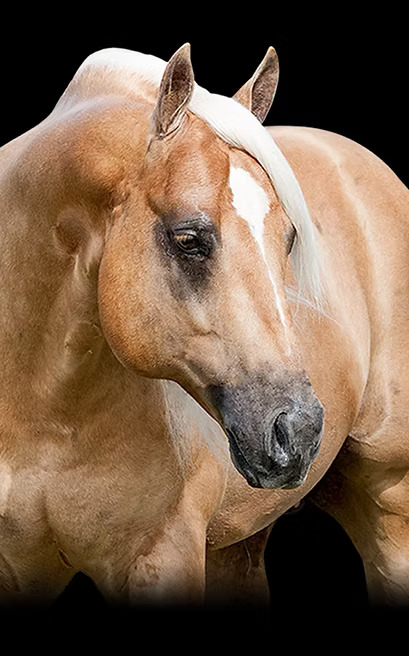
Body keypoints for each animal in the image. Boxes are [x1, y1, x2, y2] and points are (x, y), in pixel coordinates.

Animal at [0, 42, 408, 608]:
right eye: (189, 239)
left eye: (289, 239)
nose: (299, 431)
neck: (41, 414)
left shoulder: (161, 557)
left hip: (390, 509)